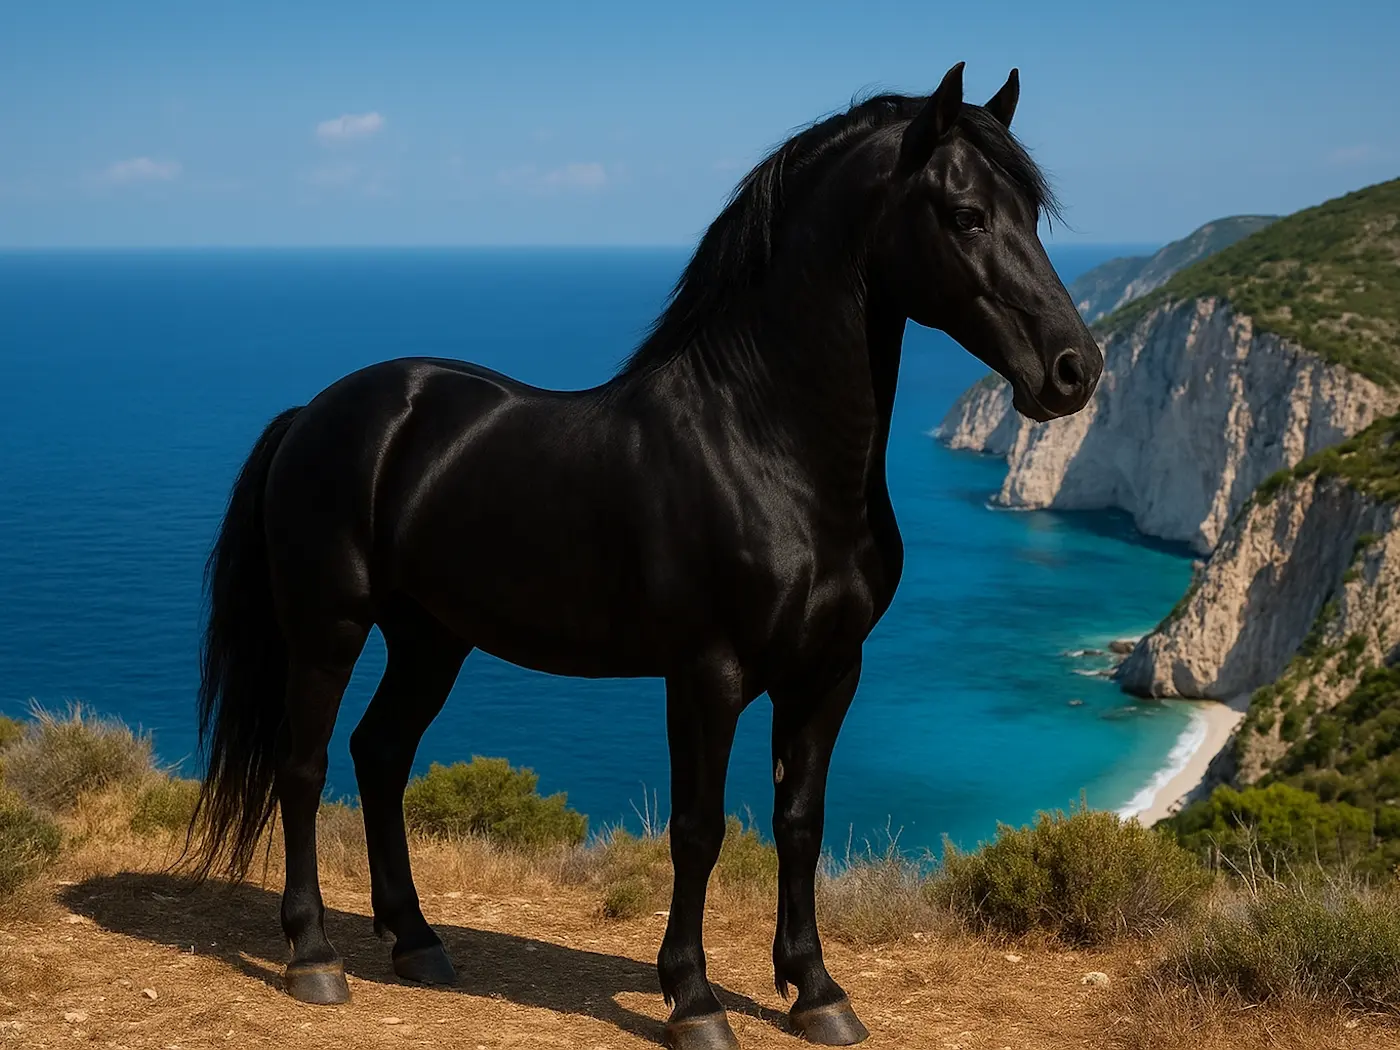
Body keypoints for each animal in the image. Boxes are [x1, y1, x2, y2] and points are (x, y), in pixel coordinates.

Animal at [189, 61, 1102, 1049]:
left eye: (1032, 214)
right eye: (966, 214)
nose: (1075, 369)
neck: (765, 447)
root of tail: (316, 413)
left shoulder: (830, 670)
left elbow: (801, 820)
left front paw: (817, 991)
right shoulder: (706, 674)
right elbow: (698, 830)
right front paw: (693, 1001)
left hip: (432, 639)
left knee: (380, 753)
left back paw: (418, 942)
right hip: (330, 625)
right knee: (306, 765)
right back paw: (314, 956)